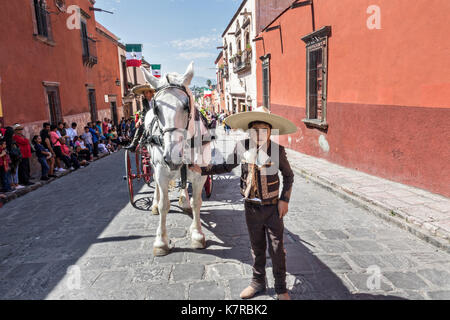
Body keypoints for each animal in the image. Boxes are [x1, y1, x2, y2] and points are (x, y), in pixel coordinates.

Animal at [141, 63, 209, 258]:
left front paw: (197, 234)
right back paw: (154, 204)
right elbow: (164, 205)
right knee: (156, 185)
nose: (172, 157)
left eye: (186, 106)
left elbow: (197, 202)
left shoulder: (201, 175)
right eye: (156, 108)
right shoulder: (162, 172)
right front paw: (161, 241)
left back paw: (183, 199)